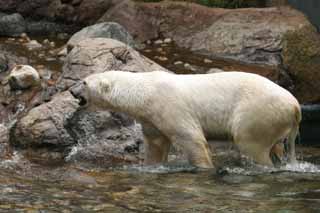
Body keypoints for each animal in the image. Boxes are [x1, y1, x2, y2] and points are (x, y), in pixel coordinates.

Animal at [69, 70, 302, 169]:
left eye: (84, 82)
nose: (71, 90)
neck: (145, 90)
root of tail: (295, 105)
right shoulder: (151, 118)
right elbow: (156, 145)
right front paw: (151, 166)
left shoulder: (170, 106)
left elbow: (192, 139)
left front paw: (204, 168)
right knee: (275, 146)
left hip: (257, 112)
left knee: (250, 143)